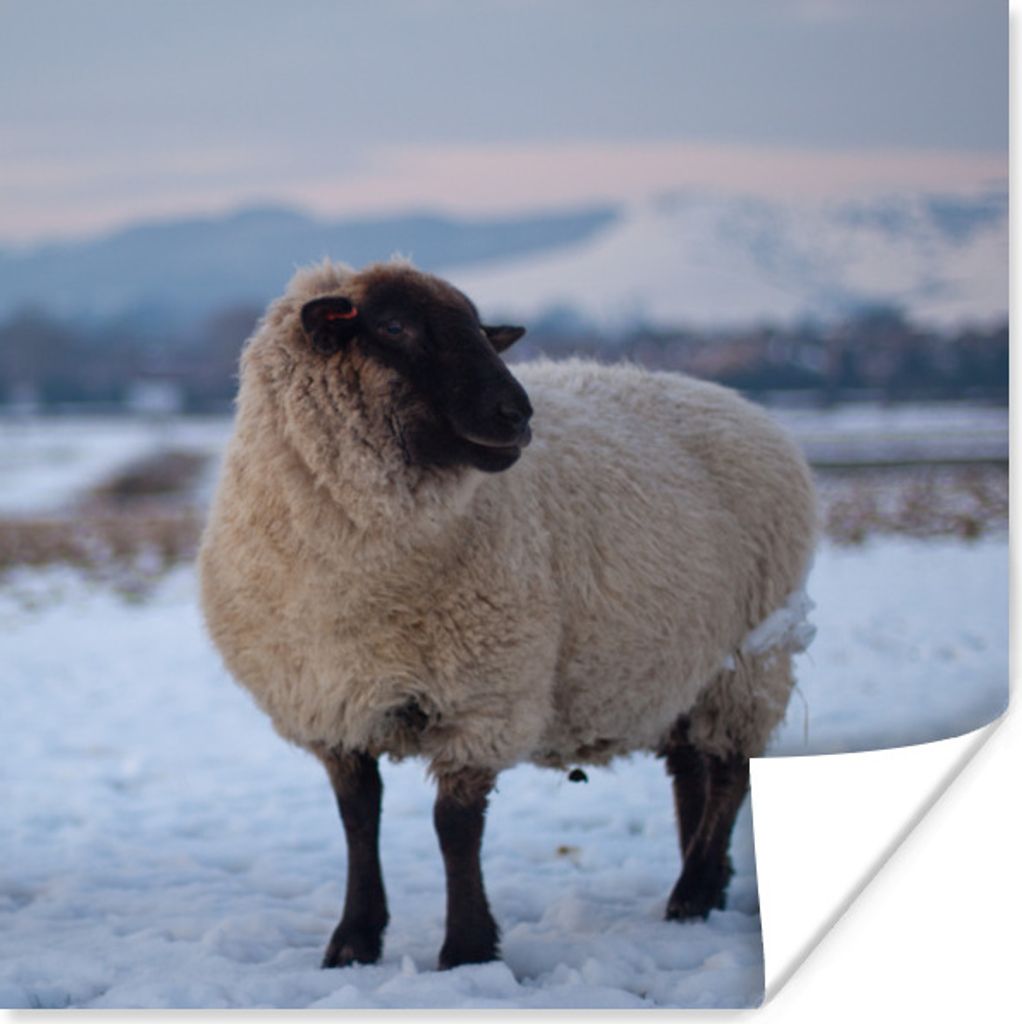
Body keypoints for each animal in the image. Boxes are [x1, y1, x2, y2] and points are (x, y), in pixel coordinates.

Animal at [198, 258, 817, 972]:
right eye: (394, 326)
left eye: (480, 329)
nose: (517, 414)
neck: (362, 578)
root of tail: (739, 403)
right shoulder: (331, 704)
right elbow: (358, 819)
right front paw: (353, 940)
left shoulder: (482, 695)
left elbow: (454, 828)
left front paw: (466, 949)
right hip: (679, 660)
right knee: (691, 769)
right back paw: (704, 886)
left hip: (751, 654)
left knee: (731, 771)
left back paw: (691, 892)